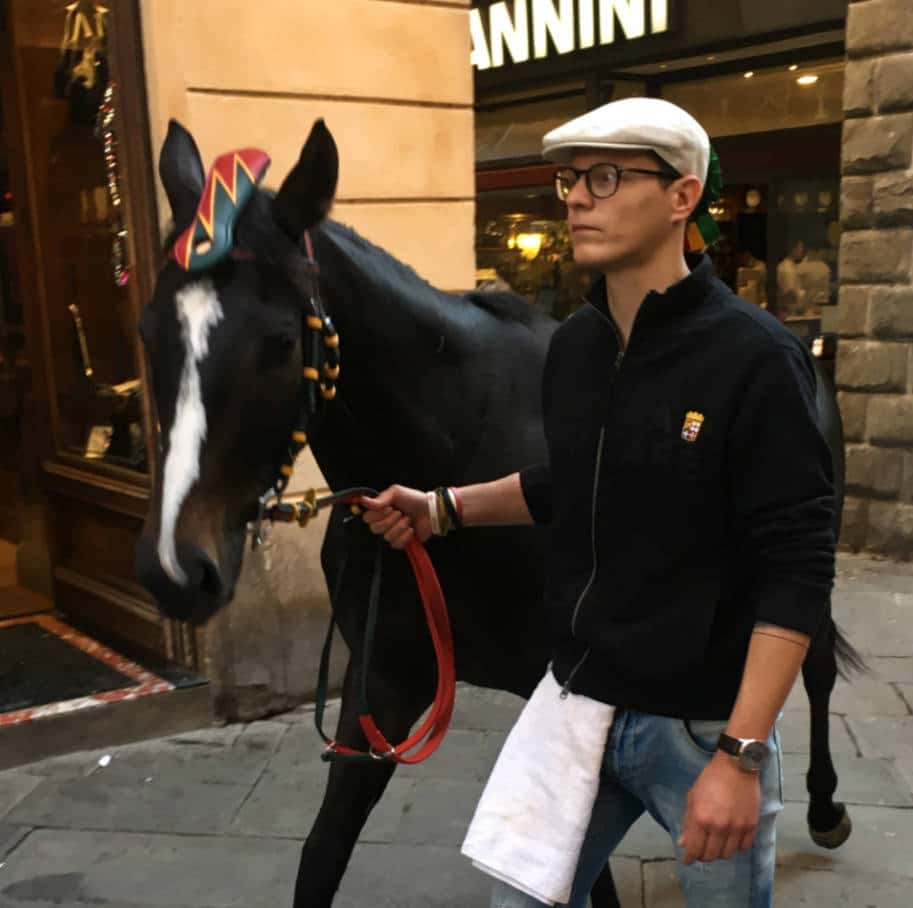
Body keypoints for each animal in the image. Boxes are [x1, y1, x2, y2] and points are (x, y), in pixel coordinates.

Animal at [134, 122, 856, 908]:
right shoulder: (384, 687)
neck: (459, 440)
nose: (176, 566)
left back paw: (823, 806)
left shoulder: (569, 695)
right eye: (149, 331)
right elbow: (323, 852)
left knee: (811, 666)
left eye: (279, 341)